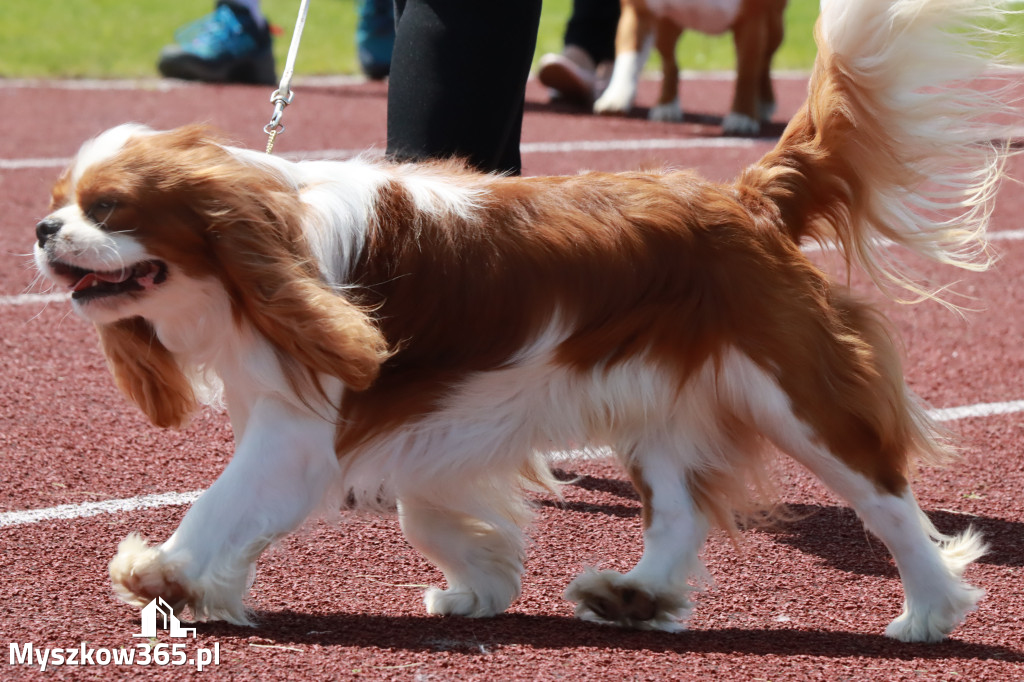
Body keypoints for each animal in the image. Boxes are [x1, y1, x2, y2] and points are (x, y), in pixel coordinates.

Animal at [598, 0, 786, 135]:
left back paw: (763, 103)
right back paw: (667, 105)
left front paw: (742, 117)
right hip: (666, 24)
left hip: (775, 25)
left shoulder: (751, 19)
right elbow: (629, 59)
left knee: (764, 61)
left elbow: (746, 73)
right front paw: (617, 96)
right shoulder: (639, 12)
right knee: (670, 63)